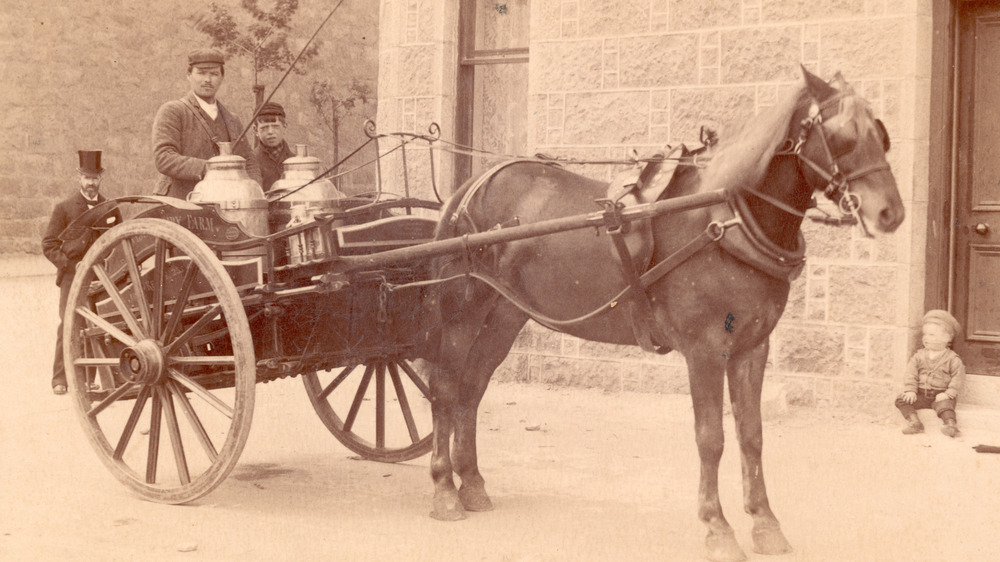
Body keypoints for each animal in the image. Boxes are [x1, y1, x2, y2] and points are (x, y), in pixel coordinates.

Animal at [418, 66, 904, 560]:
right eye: (842, 136)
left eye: (880, 133)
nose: (891, 212)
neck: (724, 219)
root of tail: (471, 187)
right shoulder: (705, 350)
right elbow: (711, 438)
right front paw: (717, 526)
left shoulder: (752, 347)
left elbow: (752, 435)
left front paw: (765, 522)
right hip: (462, 311)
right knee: (445, 390)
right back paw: (444, 489)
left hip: (505, 315)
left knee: (472, 389)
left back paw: (471, 483)